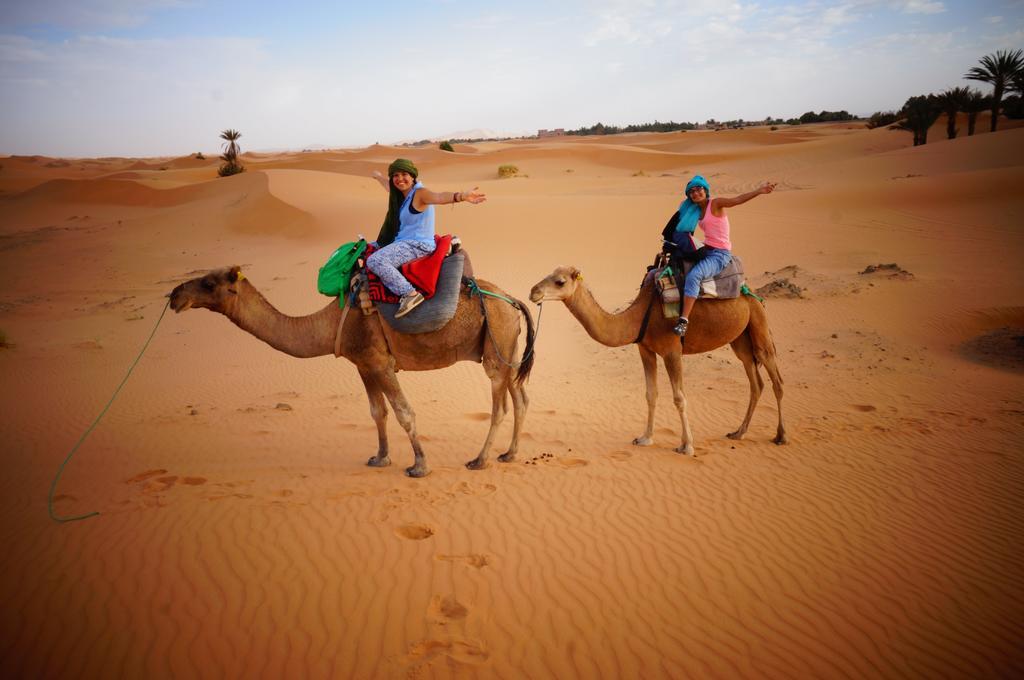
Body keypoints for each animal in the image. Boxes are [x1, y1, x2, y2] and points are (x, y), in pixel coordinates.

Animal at [167, 262, 536, 475]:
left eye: (209, 283)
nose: (174, 295)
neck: (331, 323)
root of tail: (512, 300)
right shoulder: (363, 364)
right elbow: (377, 412)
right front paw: (380, 457)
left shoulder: (381, 362)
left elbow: (404, 412)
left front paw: (419, 465)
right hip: (507, 349)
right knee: (520, 398)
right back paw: (509, 454)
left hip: (496, 346)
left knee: (501, 405)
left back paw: (479, 460)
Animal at [528, 264, 782, 450]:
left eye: (560, 281)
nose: (533, 292)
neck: (640, 316)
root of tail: (749, 291)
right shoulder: (645, 350)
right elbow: (651, 394)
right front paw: (645, 438)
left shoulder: (672, 351)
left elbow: (679, 398)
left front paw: (687, 446)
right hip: (740, 339)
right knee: (756, 381)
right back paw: (739, 432)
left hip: (758, 323)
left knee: (775, 379)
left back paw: (780, 435)